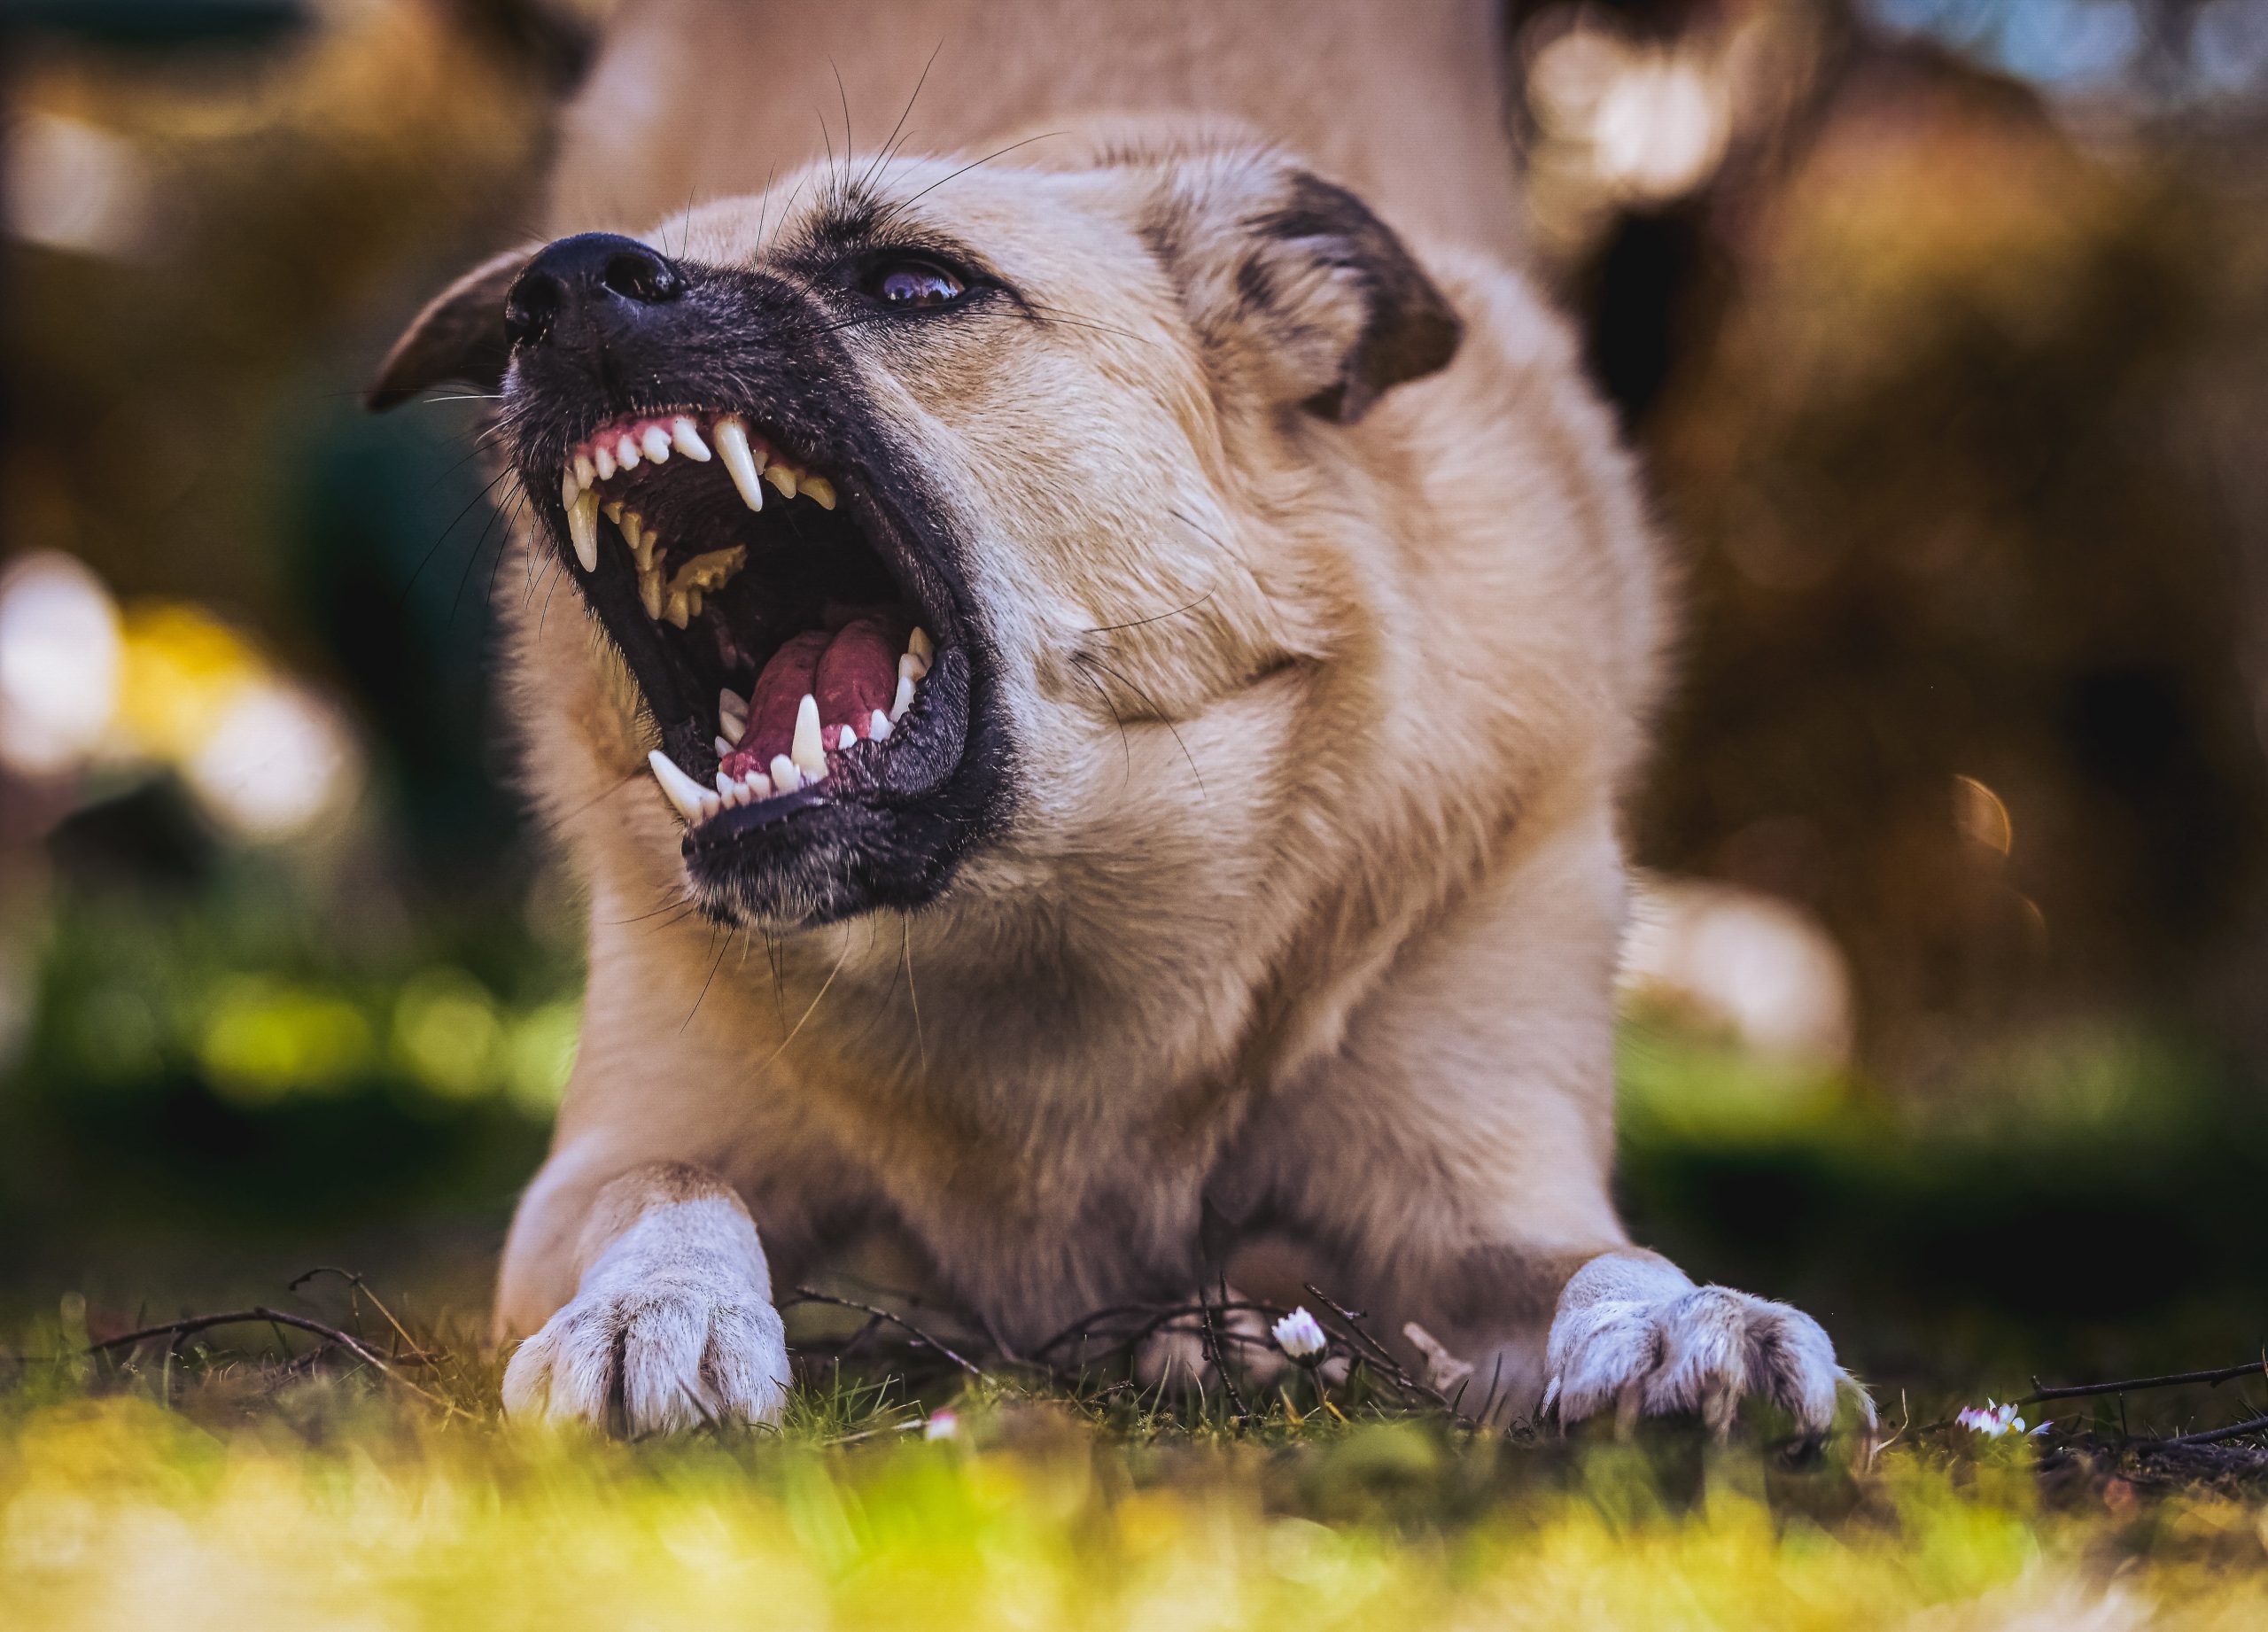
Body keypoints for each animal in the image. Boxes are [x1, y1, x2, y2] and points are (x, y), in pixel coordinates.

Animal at [367, 0, 1860, 1432]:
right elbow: (674, 1185)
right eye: (542, 297)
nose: (560, 287)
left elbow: (1602, 1258)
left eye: (916, 281)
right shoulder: (607, 1161)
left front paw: (1687, 1320)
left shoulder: (1488, 1193)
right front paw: (657, 1308)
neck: (1041, 931)